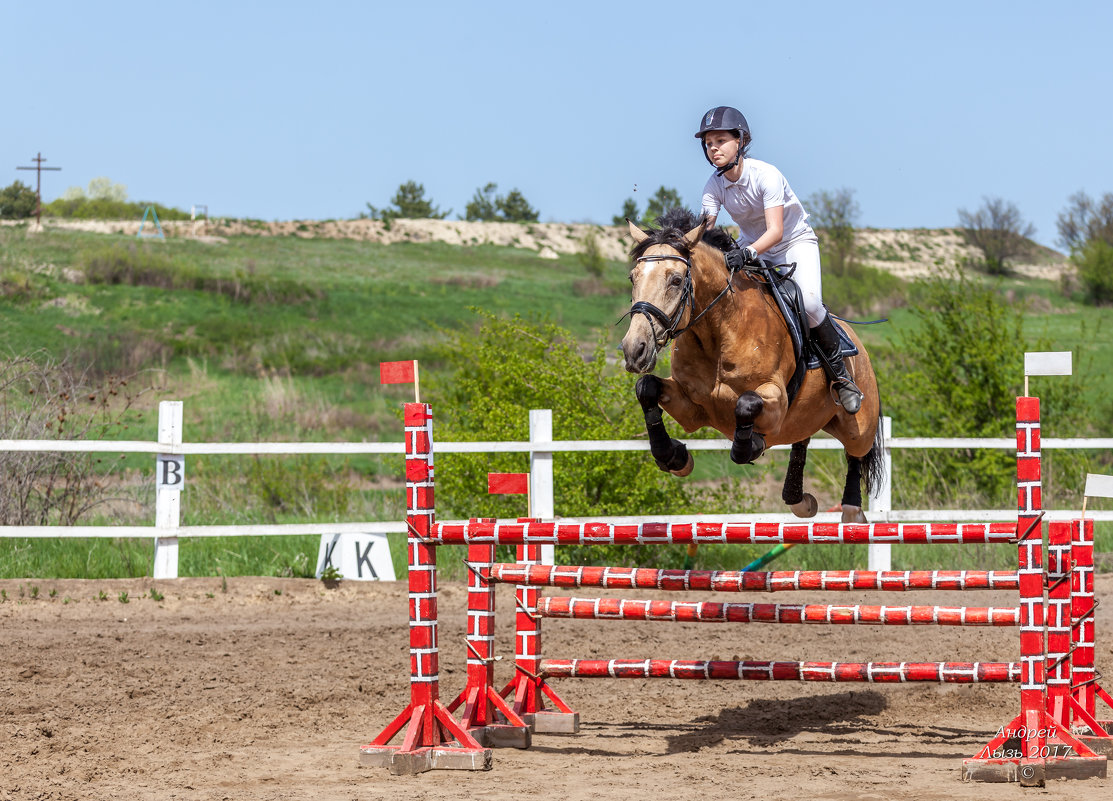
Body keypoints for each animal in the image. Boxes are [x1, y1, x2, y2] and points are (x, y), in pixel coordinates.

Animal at [623, 206, 881, 522]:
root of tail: (855, 339)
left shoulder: (776, 398)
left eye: (675, 280)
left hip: (860, 422)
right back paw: (799, 501)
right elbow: (646, 387)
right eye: (633, 278)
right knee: (803, 439)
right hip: (808, 417)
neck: (719, 331)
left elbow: (746, 404)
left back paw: (852, 510)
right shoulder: (693, 409)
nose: (634, 349)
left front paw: (754, 444)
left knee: (856, 452)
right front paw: (674, 457)